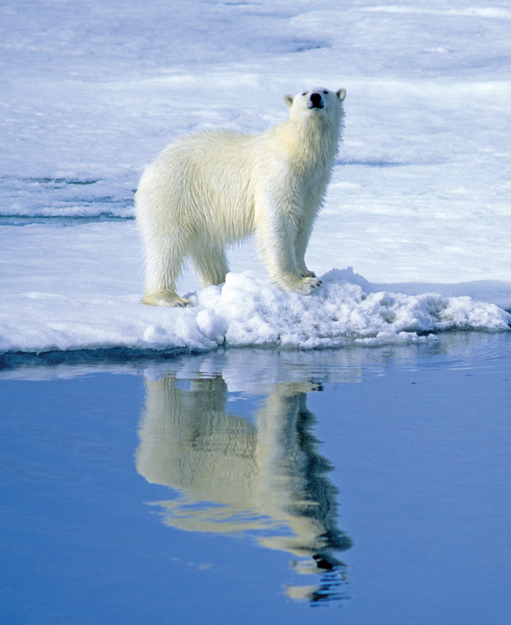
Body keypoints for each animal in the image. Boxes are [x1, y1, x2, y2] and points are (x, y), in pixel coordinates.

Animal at [134, 86, 346, 306]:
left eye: (325, 91)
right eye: (304, 93)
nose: (315, 97)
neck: (299, 152)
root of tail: (151, 168)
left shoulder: (313, 186)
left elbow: (303, 223)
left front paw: (306, 272)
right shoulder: (279, 174)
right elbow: (278, 222)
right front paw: (303, 284)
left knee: (207, 249)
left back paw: (220, 280)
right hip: (172, 194)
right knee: (167, 245)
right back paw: (169, 296)